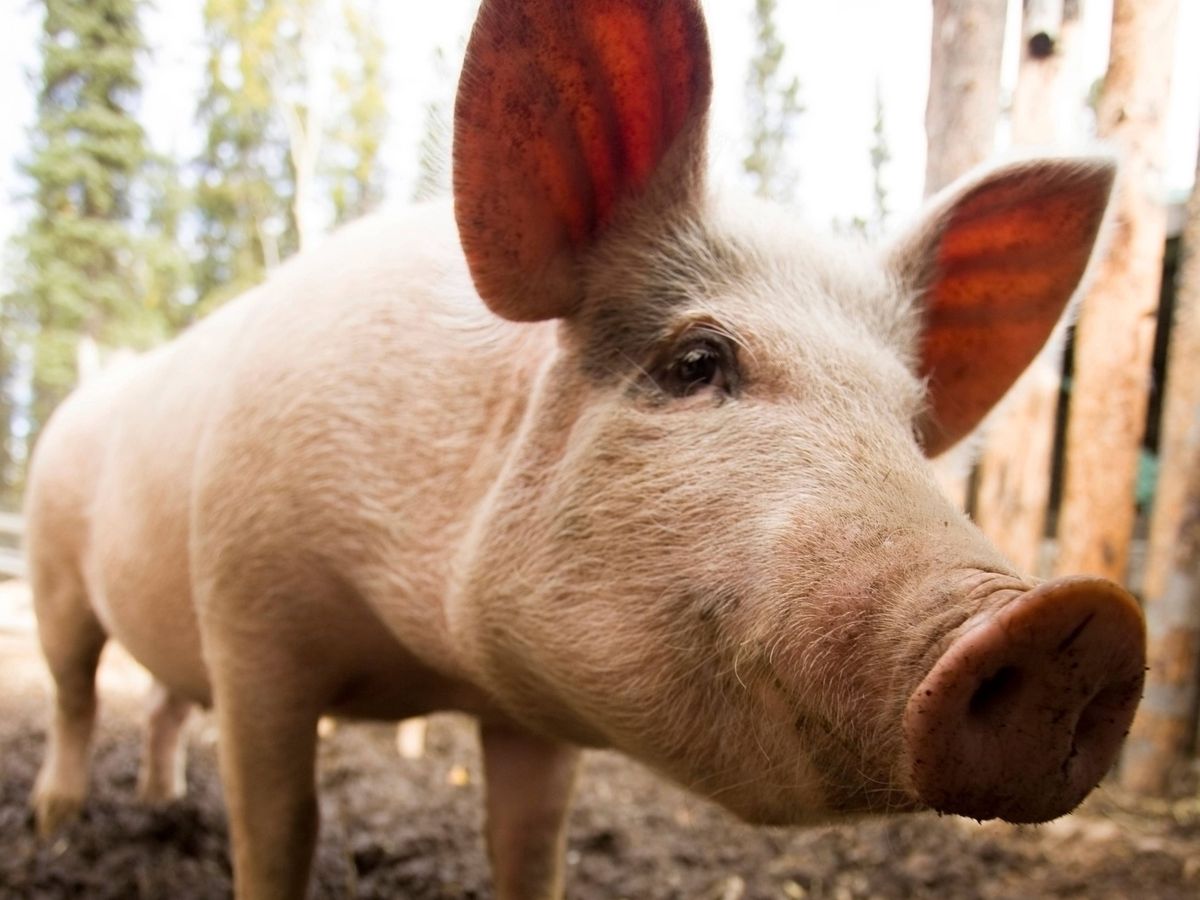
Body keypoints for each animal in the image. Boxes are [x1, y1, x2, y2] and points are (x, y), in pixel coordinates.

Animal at [24, 0, 1145, 898]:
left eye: (912, 425)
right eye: (696, 361)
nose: (1077, 619)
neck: (422, 656)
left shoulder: (534, 711)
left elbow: (530, 844)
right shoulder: (249, 613)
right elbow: (281, 829)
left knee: (160, 703)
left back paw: (160, 804)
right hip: (51, 569)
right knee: (77, 693)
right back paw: (55, 820)